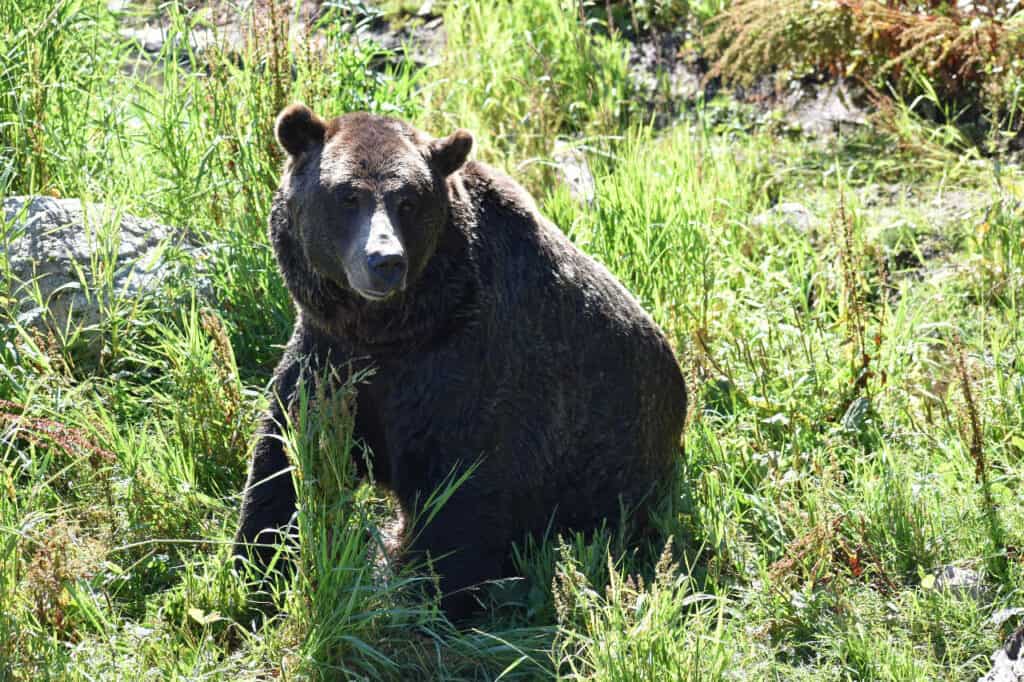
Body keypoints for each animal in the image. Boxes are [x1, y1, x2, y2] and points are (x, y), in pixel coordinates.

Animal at [233, 103, 688, 618]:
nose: (384, 260)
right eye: (348, 195)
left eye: (408, 201)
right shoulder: (326, 355)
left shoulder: (468, 372)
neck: (388, 332)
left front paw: (432, 595)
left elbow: (461, 492)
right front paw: (259, 565)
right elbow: (283, 457)